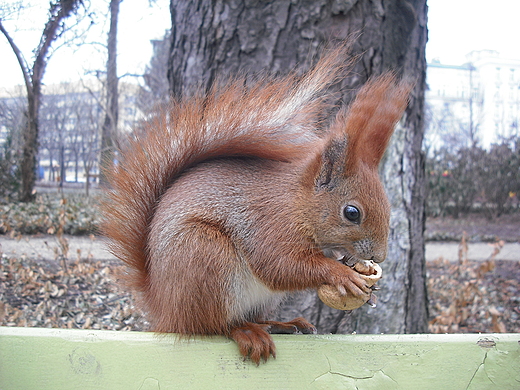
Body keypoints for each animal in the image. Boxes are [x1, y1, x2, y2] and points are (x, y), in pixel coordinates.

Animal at [100, 46, 410, 366]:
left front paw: (366, 284)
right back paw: (246, 332)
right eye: (352, 213)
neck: (298, 204)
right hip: (203, 256)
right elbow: (279, 265)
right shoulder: (269, 224)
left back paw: (282, 324)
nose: (379, 256)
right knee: (211, 325)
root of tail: (163, 306)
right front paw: (342, 274)